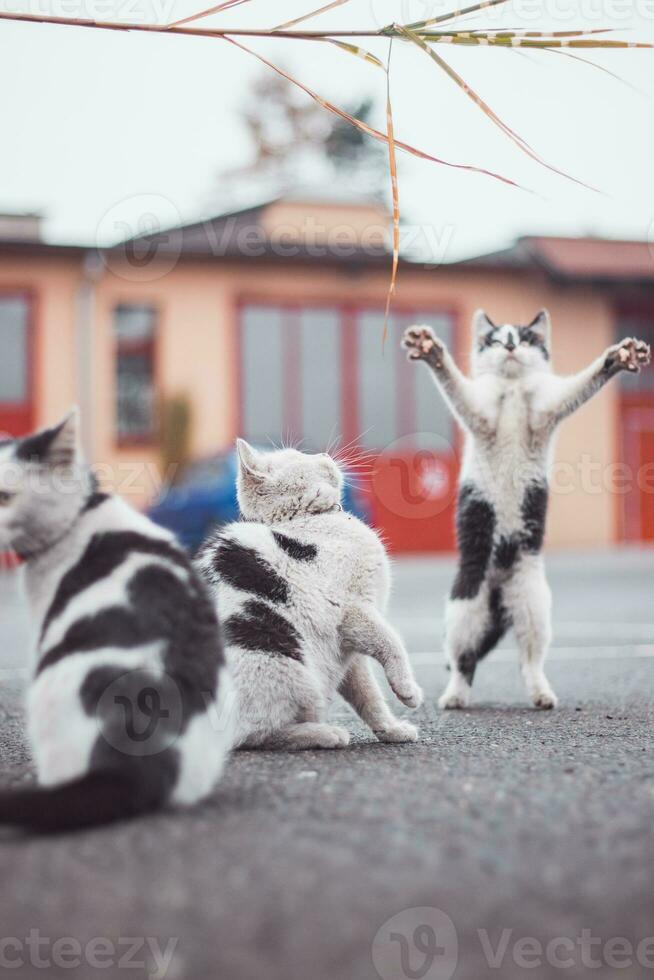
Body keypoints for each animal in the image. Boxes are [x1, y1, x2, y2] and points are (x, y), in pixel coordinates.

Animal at [197, 442, 422, 752]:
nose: (324, 454)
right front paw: (408, 690)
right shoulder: (353, 611)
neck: (307, 519)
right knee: (254, 735)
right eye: (298, 455)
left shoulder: (347, 648)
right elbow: (391, 643)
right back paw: (324, 734)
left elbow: (368, 695)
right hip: (282, 662)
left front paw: (391, 730)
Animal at [404, 310, 652, 708]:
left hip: (534, 603)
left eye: (524, 339)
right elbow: (458, 389)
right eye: (494, 339)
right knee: (463, 660)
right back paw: (455, 696)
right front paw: (431, 351)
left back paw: (541, 694)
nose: (508, 346)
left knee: (529, 658)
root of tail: (499, 595)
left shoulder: (545, 412)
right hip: (464, 603)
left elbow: (578, 387)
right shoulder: (482, 416)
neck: (513, 389)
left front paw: (618, 358)